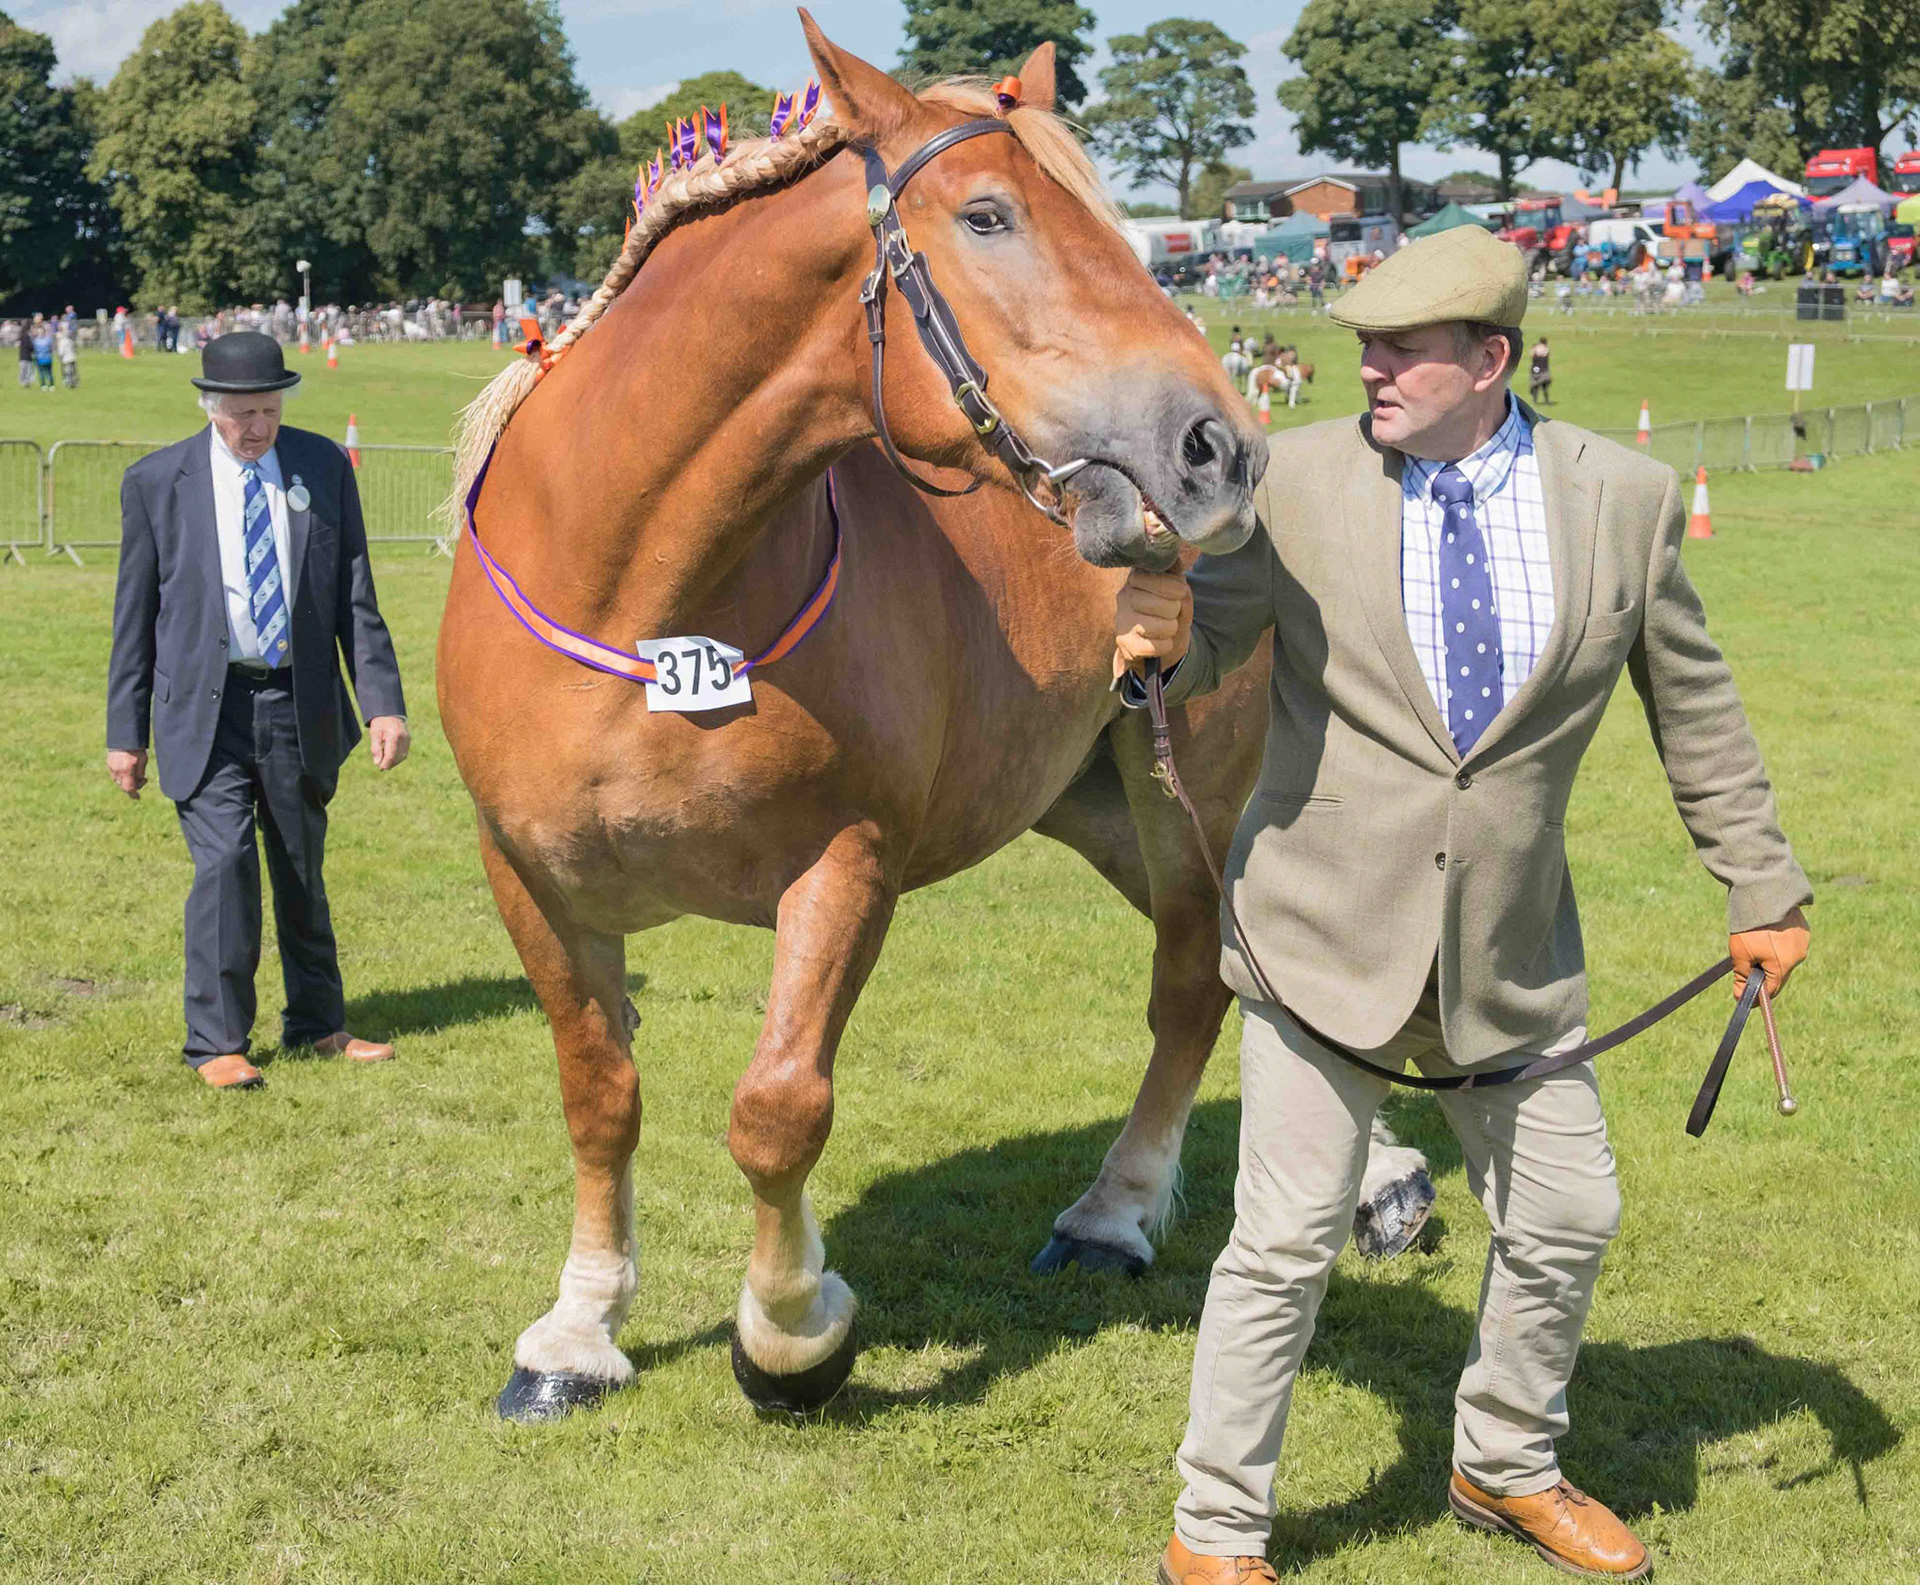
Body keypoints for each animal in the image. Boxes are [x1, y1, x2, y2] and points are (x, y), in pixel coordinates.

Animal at [438, 14, 1432, 1422]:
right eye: (987, 216)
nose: (1217, 448)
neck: (641, 604)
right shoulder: (528, 876)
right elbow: (601, 1096)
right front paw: (577, 1332)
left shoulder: (849, 863)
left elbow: (778, 1106)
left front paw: (792, 1330)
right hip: (1091, 807)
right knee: (1248, 970)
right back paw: (1386, 1179)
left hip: (1180, 789)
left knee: (1196, 980)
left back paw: (1114, 1215)